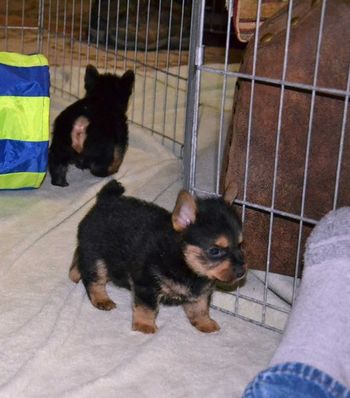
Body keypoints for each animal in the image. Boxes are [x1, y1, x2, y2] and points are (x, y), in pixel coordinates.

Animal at [69, 182, 247, 334]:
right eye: (214, 251)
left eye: (240, 245)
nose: (242, 272)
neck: (183, 261)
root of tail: (104, 200)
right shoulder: (146, 286)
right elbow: (147, 308)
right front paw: (145, 326)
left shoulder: (202, 292)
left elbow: (201, 308)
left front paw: (205, 323)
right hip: (96, 257)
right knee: (93, 280)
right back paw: (101, 299)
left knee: (79, 257)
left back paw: (74, 274)